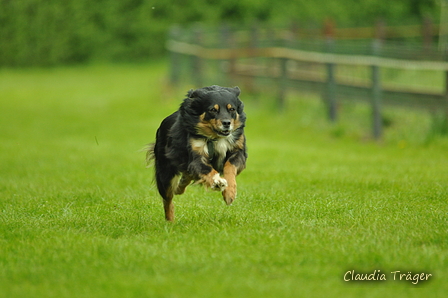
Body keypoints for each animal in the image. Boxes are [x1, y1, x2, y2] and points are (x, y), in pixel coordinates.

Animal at [147, 85, 247, 220]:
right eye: (212, 110)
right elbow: (207, 169)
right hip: (165, 172)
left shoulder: (238, 150)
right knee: (167, 199)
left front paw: (230, 193)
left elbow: (230, 167)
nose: (227, 123)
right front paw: (217, 182)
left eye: (232, 109)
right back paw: (170, 221)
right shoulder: (196, 156)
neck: (215, 137)